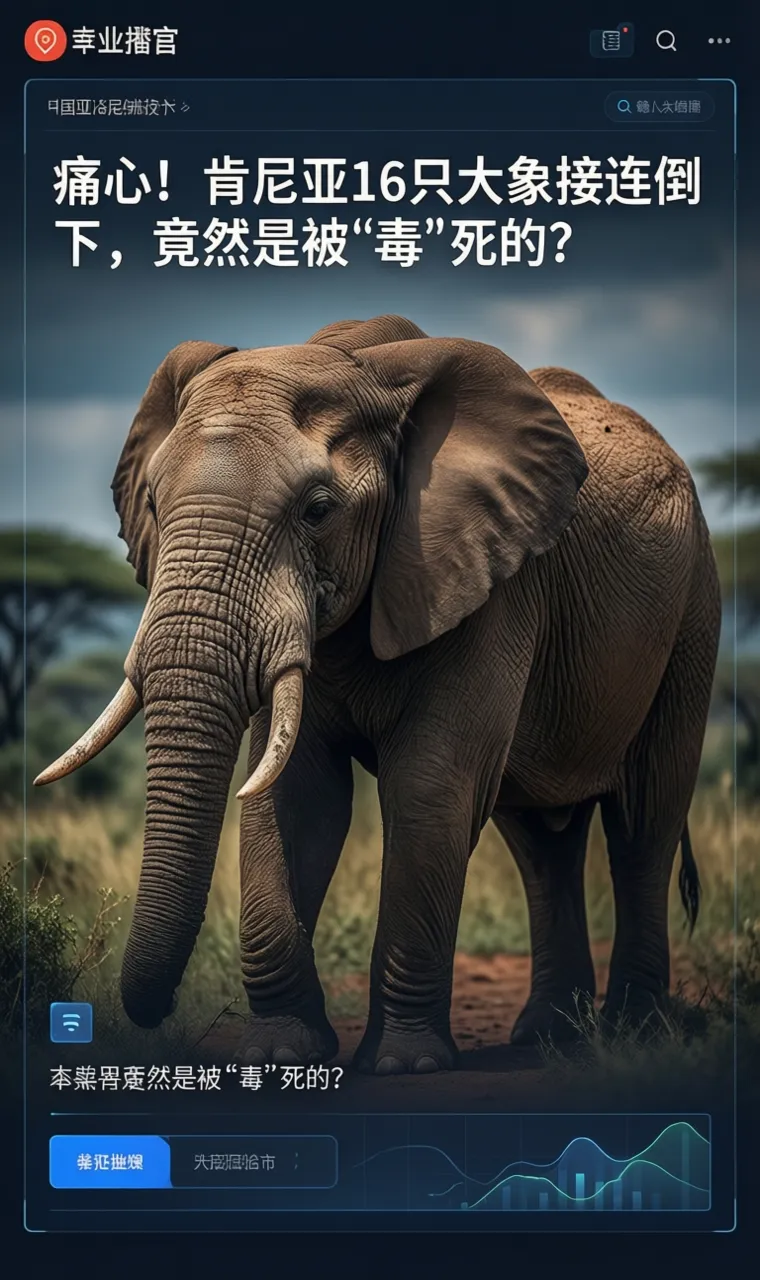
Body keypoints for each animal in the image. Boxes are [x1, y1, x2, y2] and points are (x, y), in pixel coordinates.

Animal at [35, 314, 721, 1074]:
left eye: (317, 511)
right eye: (152, 504)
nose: (148, 1014)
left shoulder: (490, 581)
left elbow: (429, 783)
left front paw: (403, 1064)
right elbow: (295, 795)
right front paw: (282, 1052)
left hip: (693, 608)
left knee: (644, 817)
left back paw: (634, 1031)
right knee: (541, 841)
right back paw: (550, 1035)